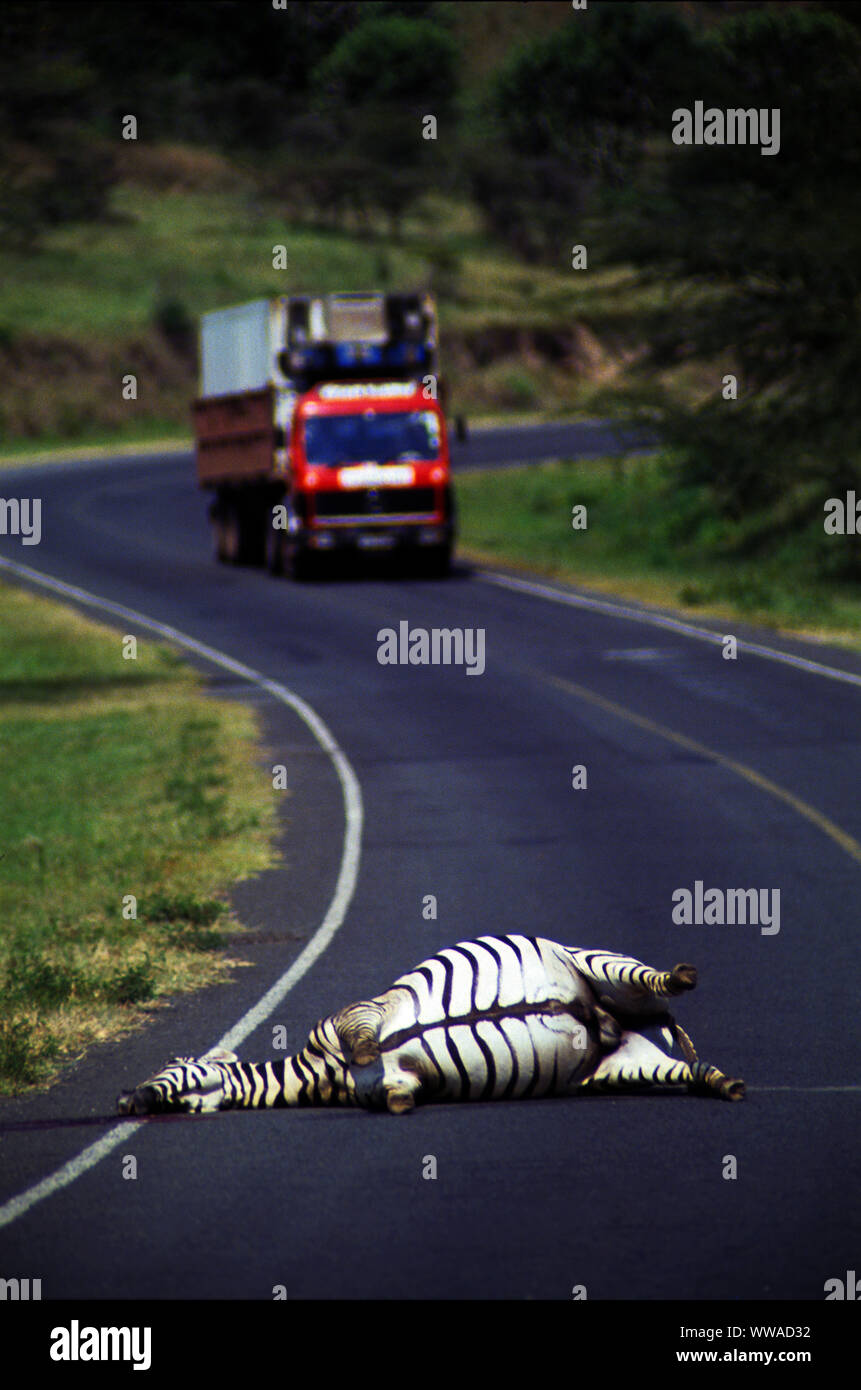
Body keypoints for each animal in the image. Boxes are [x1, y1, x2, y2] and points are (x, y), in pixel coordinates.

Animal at [116, 934, 745, 1116]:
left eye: (170, 1066)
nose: (126, 1100)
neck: (319, 1072)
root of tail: (613, 1021)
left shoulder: (354, 1014)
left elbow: (364, 1040)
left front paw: (366, 1053)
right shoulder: (397, 1084)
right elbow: (397, 1094)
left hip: (593, 962)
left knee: (654, 979)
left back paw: (680, 976)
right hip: (621, 1066)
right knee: (691, 1071)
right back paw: (727, 1084)